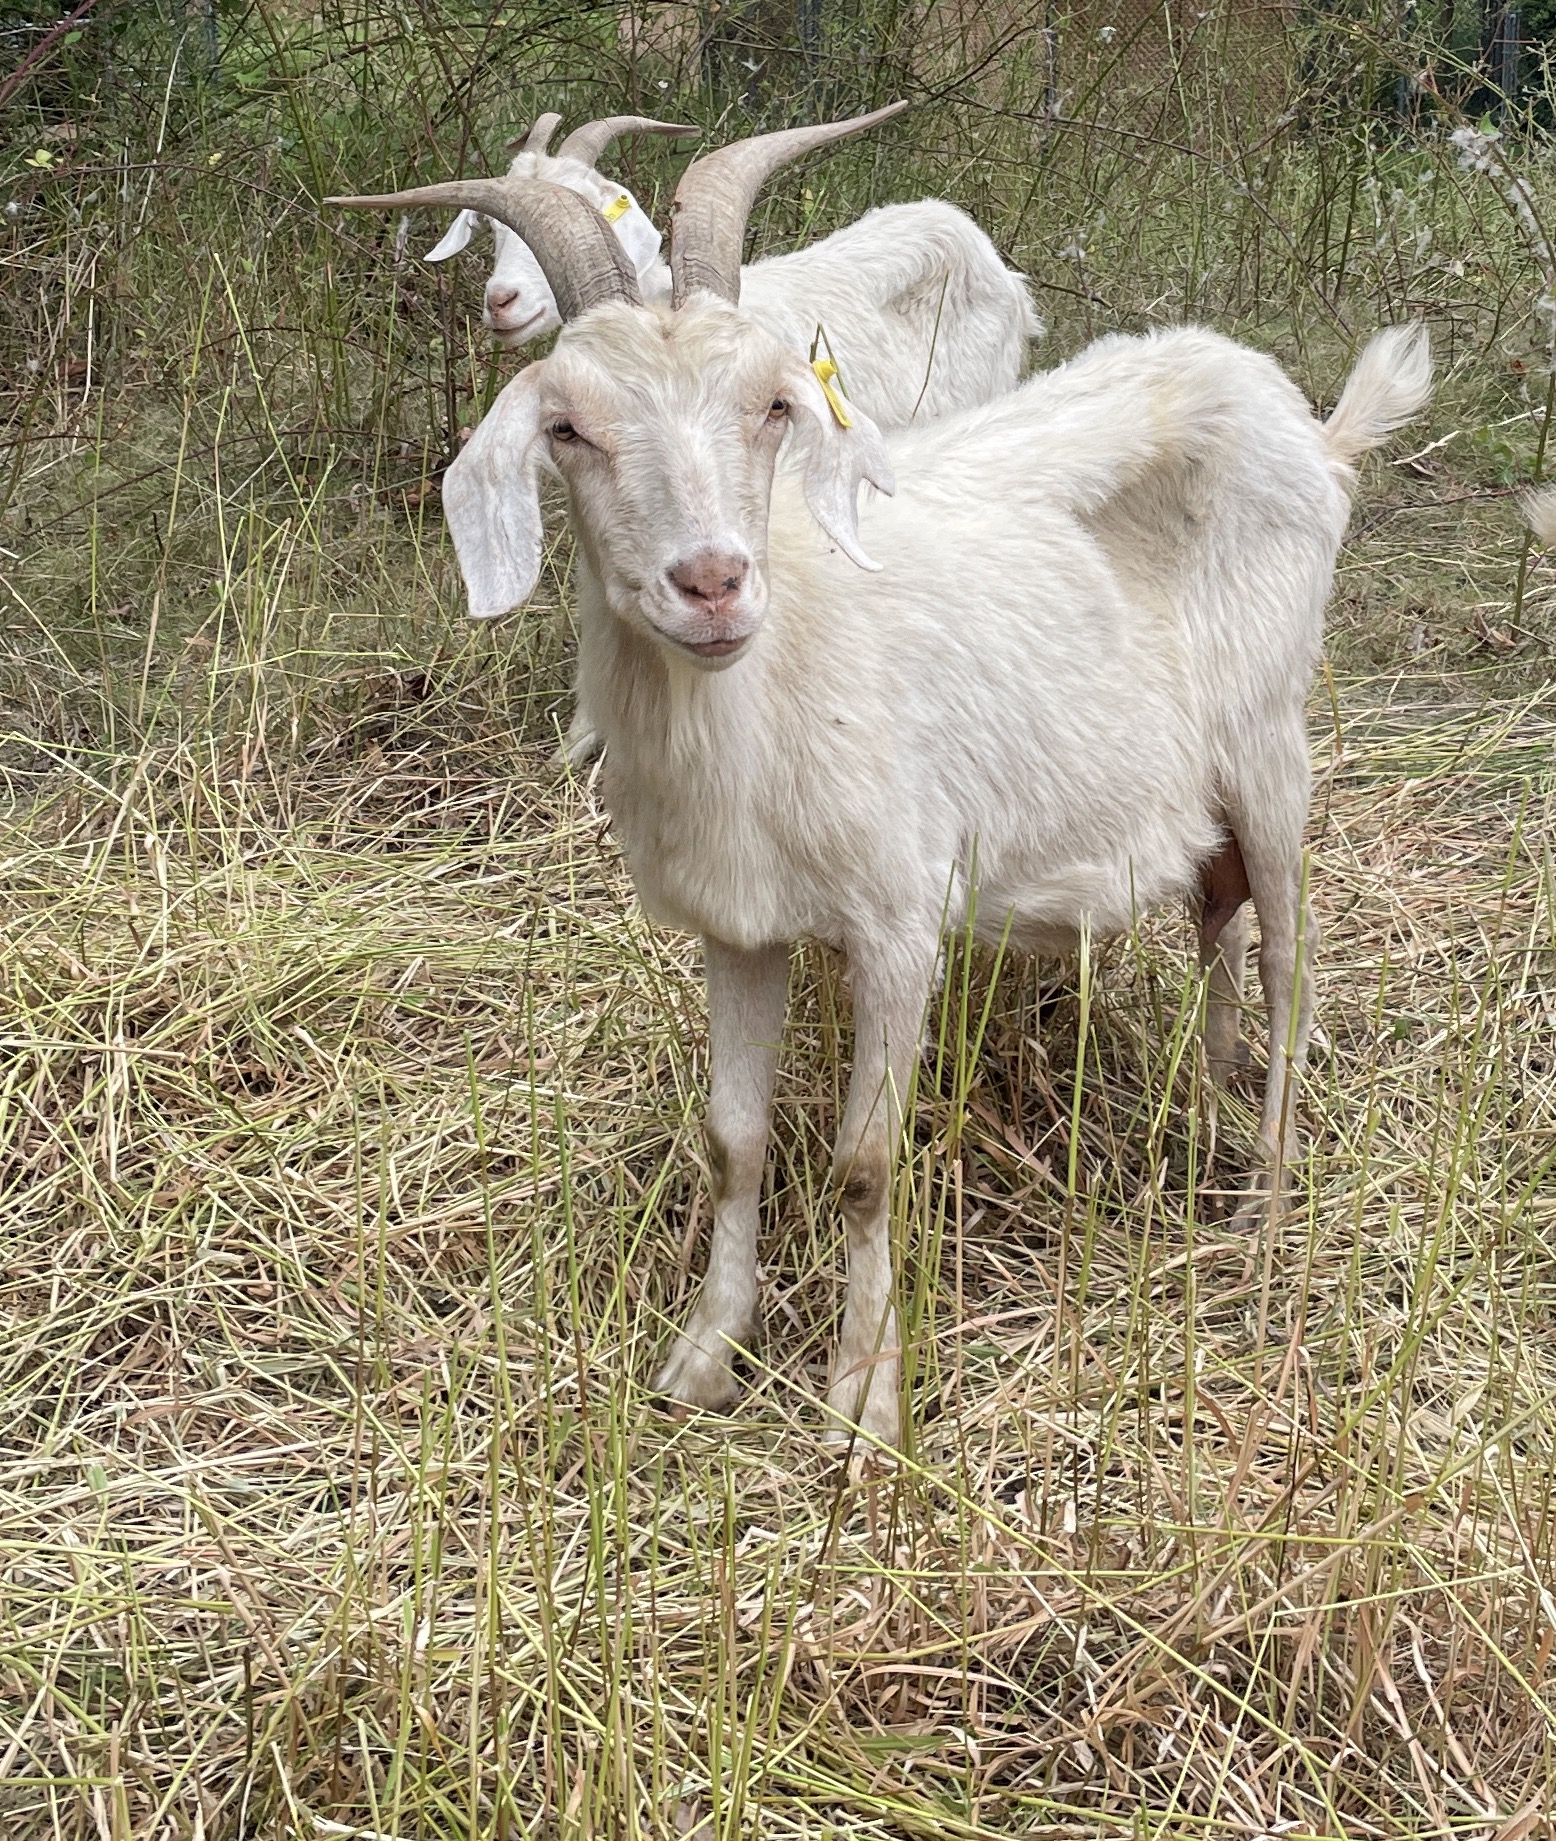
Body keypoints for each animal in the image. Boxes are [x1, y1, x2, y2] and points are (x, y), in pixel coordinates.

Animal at [331, 110, 1431, 1459]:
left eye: (771, 404)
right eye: (568, 429)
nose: (712, 582)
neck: (769, 693)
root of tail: (1306, 426)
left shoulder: (899, 920)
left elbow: (863, 1161)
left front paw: (865, 1405)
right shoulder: (738, 927)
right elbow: (733, 1140)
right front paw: (703, 1355)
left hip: (1272, 741)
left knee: (1287, 960)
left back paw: (1263, 1209)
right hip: (1191, 784)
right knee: (1215, 916)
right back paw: (1209, 1096)